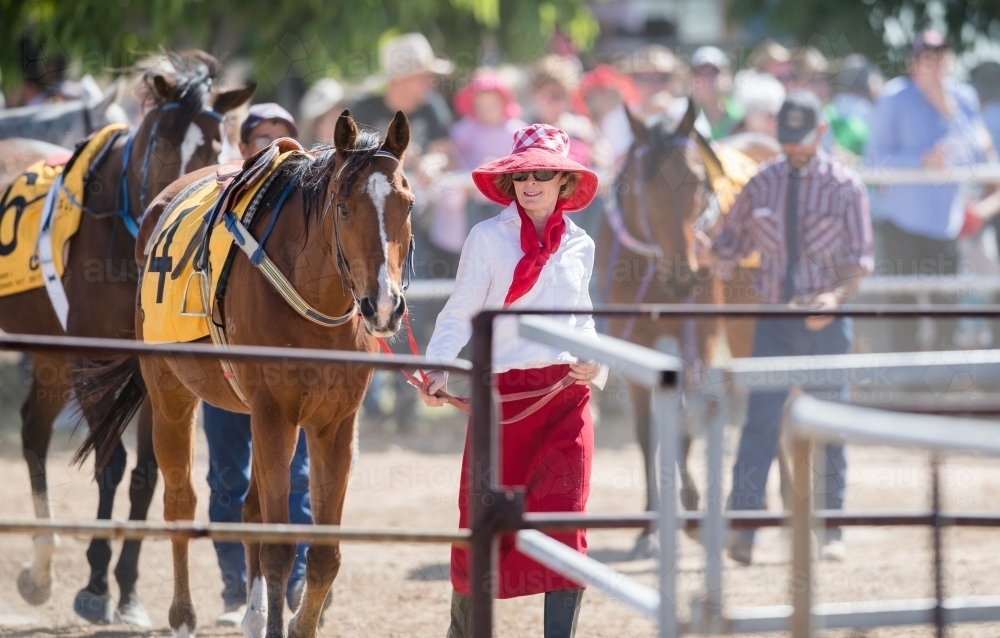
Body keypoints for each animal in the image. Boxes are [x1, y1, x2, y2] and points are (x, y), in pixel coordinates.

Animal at [0, 53, 256, 624]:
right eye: (160, 142)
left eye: (221, 144)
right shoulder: (91, 362)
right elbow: (111, 463)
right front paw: (96, 587)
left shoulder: (151, 371)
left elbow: (146, 475)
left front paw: (129, 592)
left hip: (51, 358)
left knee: (33, 431)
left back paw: (41, 569)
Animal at [76, 112, 414, 638]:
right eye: (343, 208)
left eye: (408, 204)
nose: (383, 306)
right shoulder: (275, 414)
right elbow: (276, 545)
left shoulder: (333, 424)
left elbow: (325, 556)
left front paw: (293, 622)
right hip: (171, 395)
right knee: (180, 504)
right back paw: (183, 617)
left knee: (250, 506)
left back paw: (251, 616)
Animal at [592, 102, 764, 556]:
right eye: (643, 185)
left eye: (700, 184)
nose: (686, 273)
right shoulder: (634, 344)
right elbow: (646, 433)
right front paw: (649, 528)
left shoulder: (697, 338)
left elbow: (686, 424)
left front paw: (690, 504)